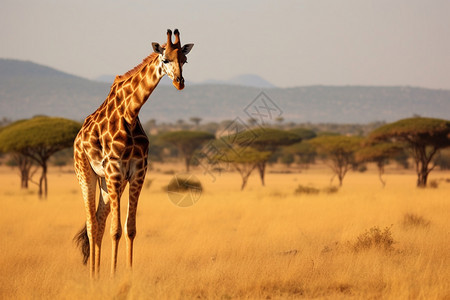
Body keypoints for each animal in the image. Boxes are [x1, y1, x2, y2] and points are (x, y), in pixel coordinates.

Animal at [73, 29, 193, 278]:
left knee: (99, 222)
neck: (130, 113)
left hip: (107, 183)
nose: (179, 83)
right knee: (91, 225)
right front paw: (113, 275)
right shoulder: (115, 170)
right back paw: (93, 276)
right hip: (86, 172)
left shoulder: (138, 172)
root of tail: (78, 138)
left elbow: (130, 228)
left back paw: (96, 274)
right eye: (165, 59)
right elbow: (116, 230)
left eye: (184, 60)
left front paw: (126, 273)